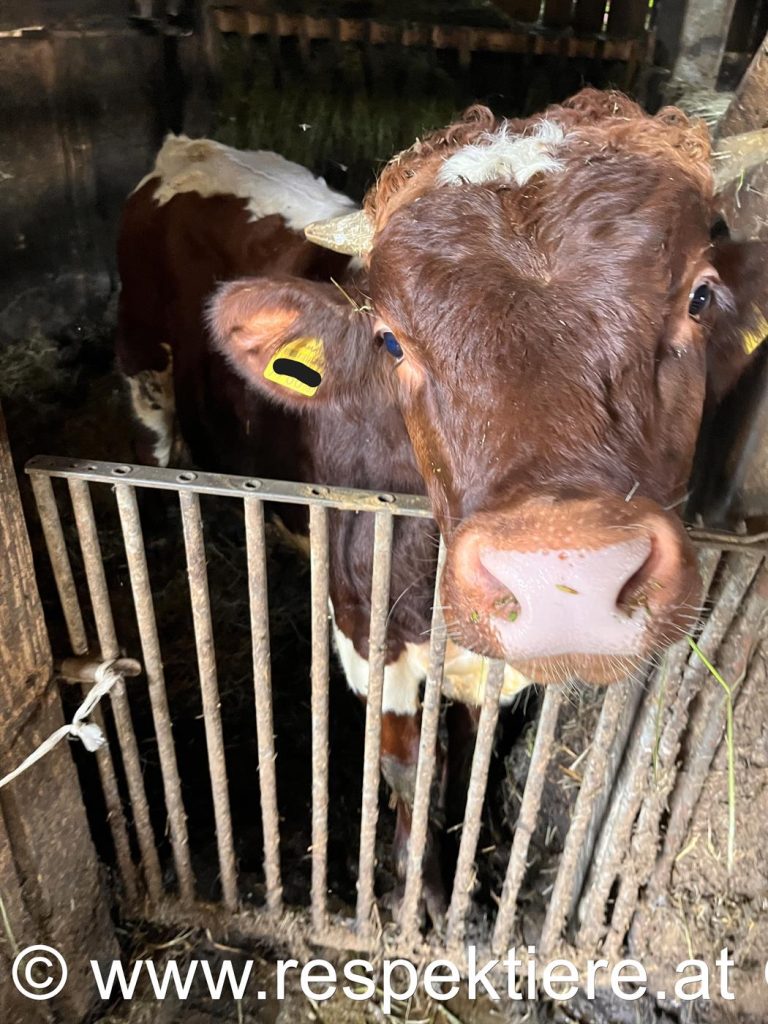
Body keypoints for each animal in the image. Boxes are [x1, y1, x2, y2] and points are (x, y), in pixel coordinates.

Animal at [118, 92, 768, 917]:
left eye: (700, 297)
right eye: (392, 341)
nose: (568, 576)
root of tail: (189, 149)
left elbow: (466, 753)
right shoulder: (364, 633)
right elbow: (406, 767)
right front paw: (418, 892)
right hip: (142, 375)